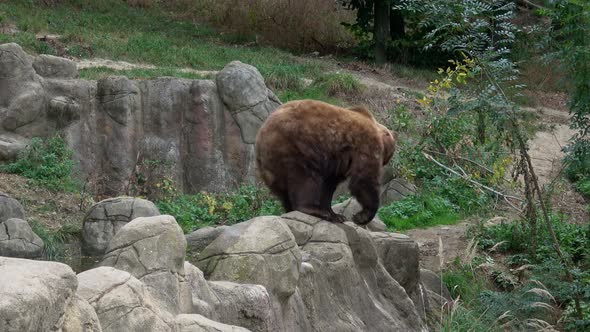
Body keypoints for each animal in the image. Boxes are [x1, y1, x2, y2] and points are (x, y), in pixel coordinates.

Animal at [254, 97, 398, 224]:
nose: (386, 162)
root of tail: (260, 138)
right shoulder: (366, 145)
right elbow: (364, 179)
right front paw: (361, 216)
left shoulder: (336, 163)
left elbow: (329, 185)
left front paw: (336, 214)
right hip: (294, 146)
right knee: (305, 178)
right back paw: (313, 209)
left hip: (273, 166)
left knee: (285, 191)